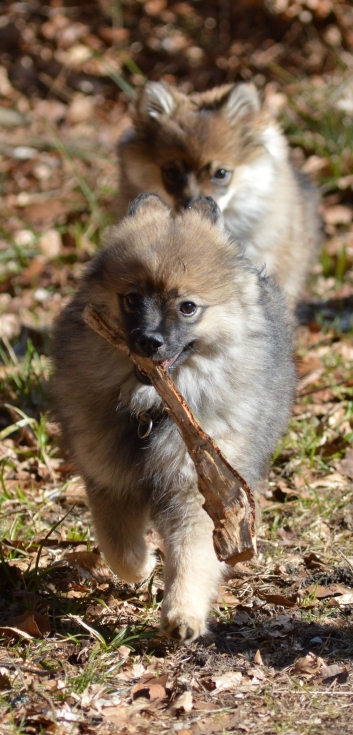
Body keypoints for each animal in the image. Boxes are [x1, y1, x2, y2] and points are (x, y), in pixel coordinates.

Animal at [51, 196, 294, 644]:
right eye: (132, 299)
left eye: (187, 307)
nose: (148, 341)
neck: (153, 411)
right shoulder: (108, 480)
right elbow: (117, 543)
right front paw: (143, 565)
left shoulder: (202, 491)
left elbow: (192, 557)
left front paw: (182, 614)